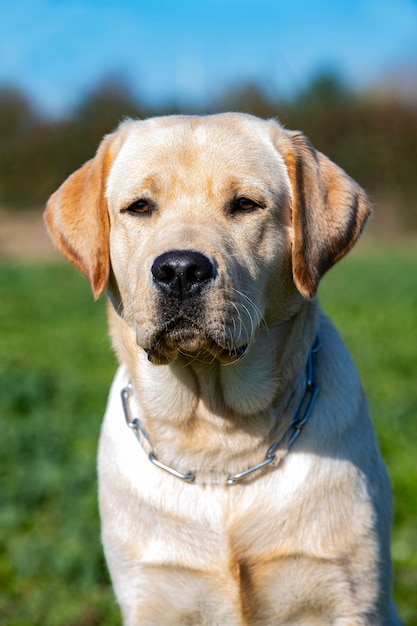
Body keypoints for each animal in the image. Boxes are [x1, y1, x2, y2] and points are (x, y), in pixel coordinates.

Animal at [43, 113, 400, 624]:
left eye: (245, 205)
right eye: (140, 207)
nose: (179, 270)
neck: (219, 444)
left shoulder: (348, 596)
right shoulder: (155, 595)